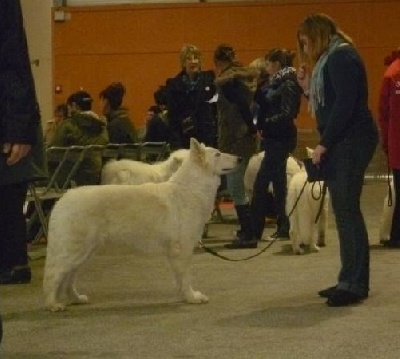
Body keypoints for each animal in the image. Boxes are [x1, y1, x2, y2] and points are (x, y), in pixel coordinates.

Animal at [43, 139, 241, 314]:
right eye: (217, 154)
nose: (239, 158)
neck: (190, 189)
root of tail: (62, 199)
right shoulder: (182, 250)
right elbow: (185, 277)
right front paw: (192, 297)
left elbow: (178, 278)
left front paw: (183, 296)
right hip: (75, 251)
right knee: (54, 275)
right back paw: (53, 304)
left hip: (85, 252)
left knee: (68, 278)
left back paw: (76, 298)